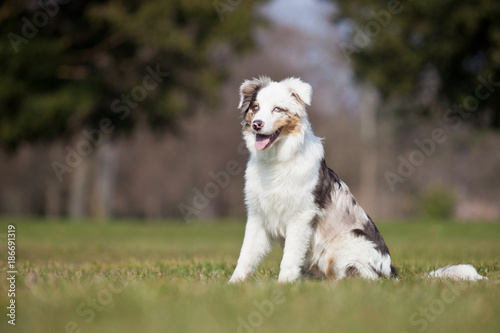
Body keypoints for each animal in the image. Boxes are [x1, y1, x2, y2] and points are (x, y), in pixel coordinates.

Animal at [229, 76, 484, 282]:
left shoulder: (300, 217)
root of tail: (390, 271)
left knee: (361, 279)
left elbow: (289, 258)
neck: (277, 161)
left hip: (346, 242)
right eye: (256, 107)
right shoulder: (258, 216)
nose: (257, 124)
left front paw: (283, 286)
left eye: (278, 109)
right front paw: (233, 286)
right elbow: (245, 256)